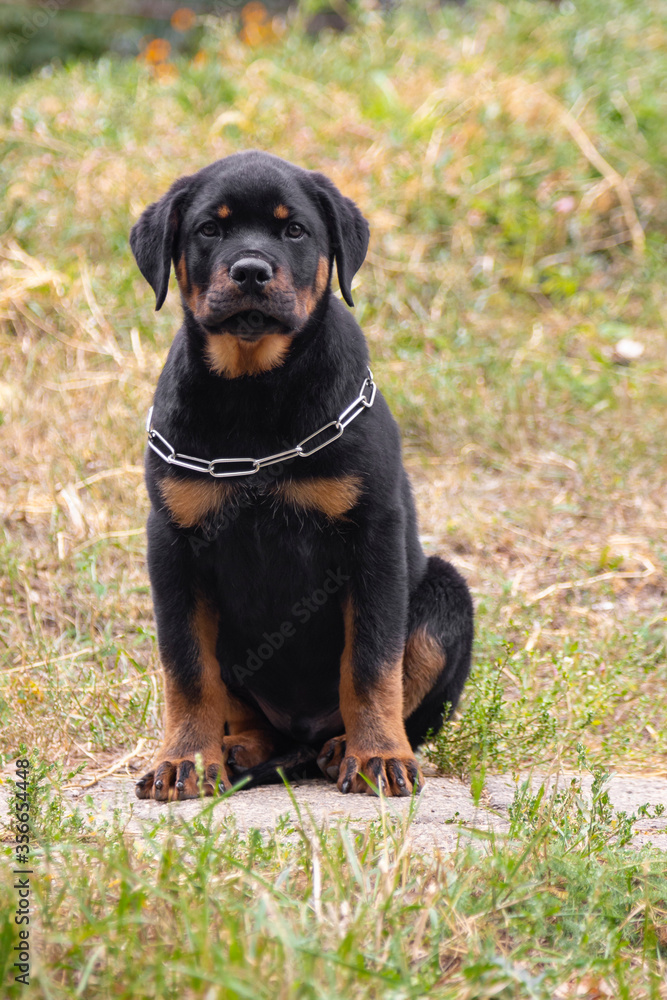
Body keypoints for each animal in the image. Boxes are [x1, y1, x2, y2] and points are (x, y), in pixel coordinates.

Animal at [130, 150, 472, 804]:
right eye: (209, 229)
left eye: (294, 231)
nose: (251, 271)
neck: (254, 391)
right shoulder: (172, 540)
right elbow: (187, 668)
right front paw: (184, 760)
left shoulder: (373, 533)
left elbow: (371, 661)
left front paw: (380, 755)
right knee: (245, 709)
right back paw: (236, 750)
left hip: (445, 593)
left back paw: (343, 747)